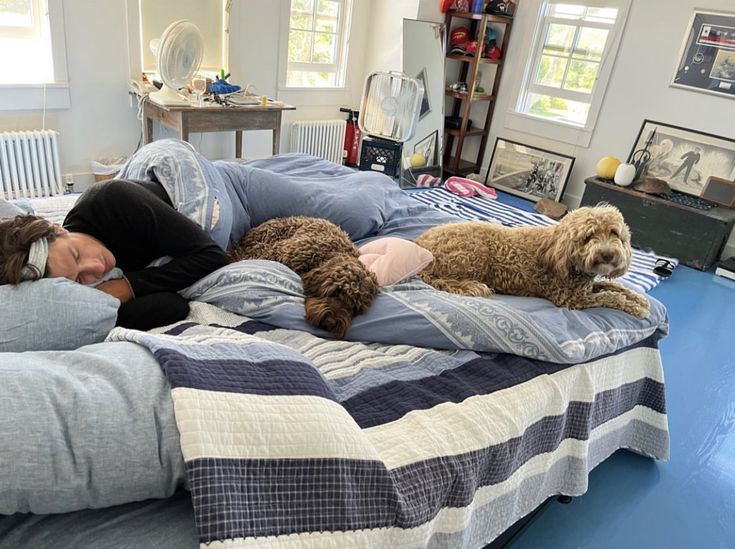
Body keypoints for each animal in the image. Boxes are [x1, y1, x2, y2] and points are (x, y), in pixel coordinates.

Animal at [414, 204, 648, 316]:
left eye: (614, 233)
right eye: (589, 236)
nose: (607, 254)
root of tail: (420, 244)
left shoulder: (585, 288)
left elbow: (612, 285)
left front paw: (639, 299)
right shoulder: (571, 298)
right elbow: (611, 297)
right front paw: (635, 307)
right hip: (473, 255)